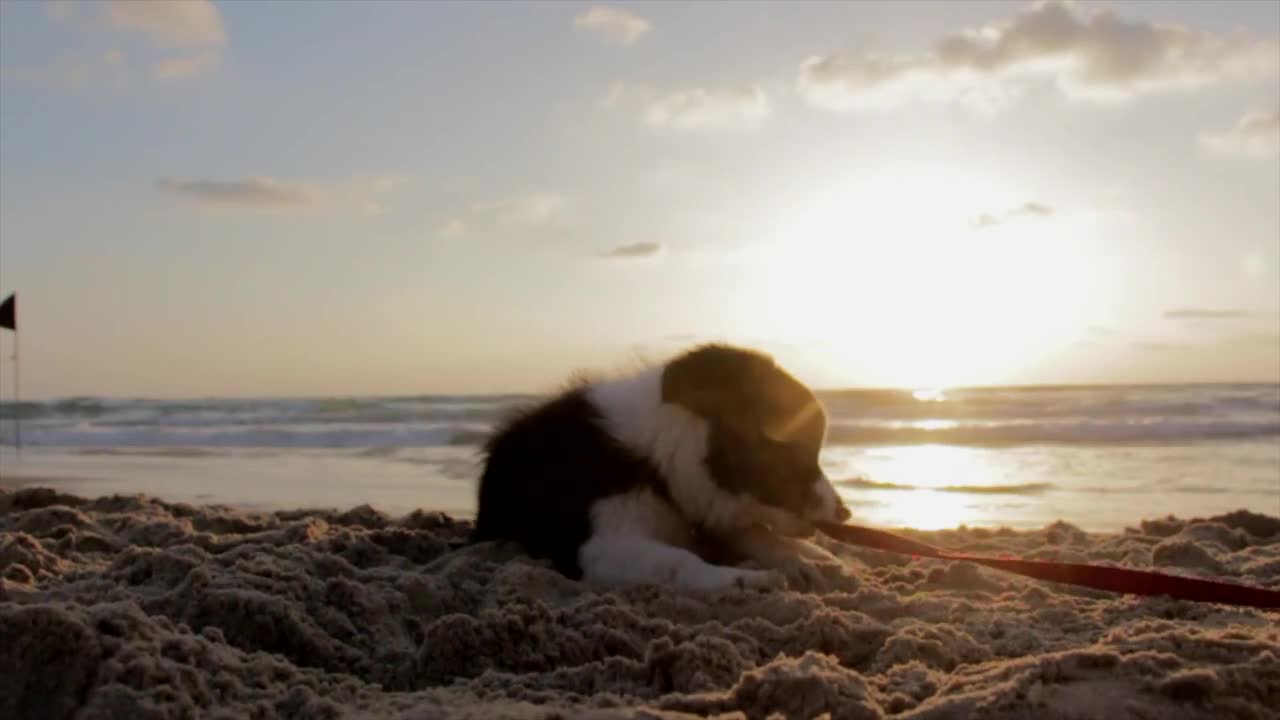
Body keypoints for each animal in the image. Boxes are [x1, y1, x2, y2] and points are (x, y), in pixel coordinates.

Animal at [473, 343, 849, 589]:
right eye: (799, 450)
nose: (845, 513)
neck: (660, 459)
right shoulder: (599, 546)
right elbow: (680, 560)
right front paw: (743, 578)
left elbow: (752, 533)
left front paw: (798, 558)